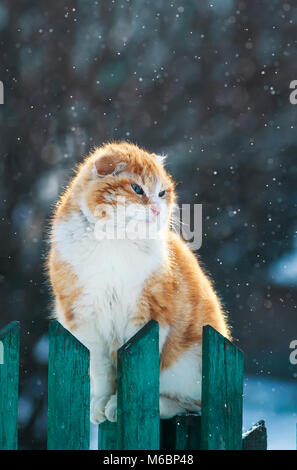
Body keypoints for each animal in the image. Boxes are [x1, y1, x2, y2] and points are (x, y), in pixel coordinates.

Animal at [48, 141, 229, 424]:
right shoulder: (83, 318)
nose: (156, 209)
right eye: (137, 189)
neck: (114, 240)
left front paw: (116, 404)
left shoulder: (147, 315)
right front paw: (101, 402)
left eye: (162, 192)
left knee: (190, 405)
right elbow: (101, 370)